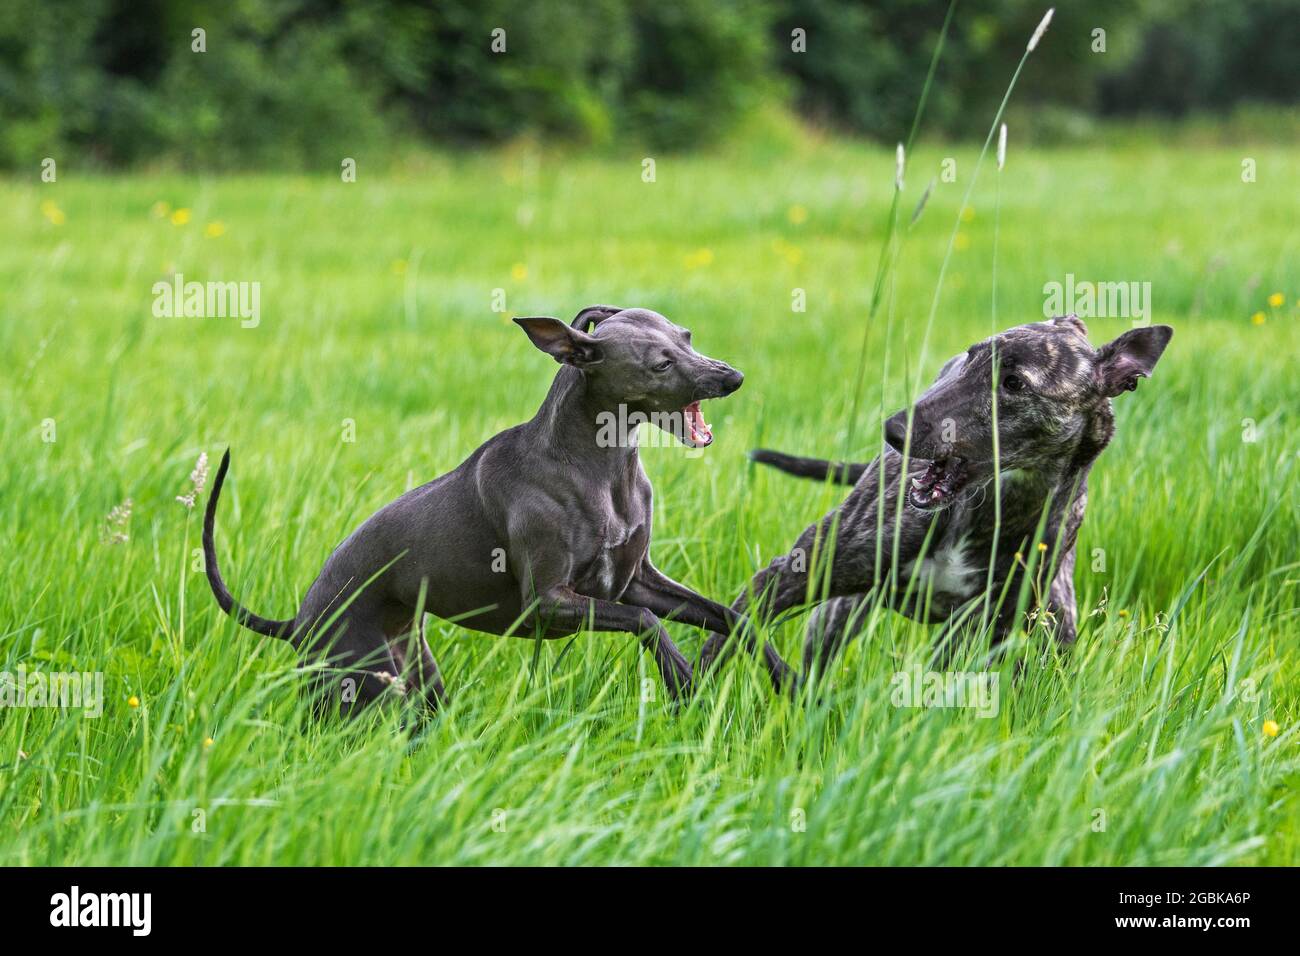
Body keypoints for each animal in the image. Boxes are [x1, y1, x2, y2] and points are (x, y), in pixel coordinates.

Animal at [205, 306, 780, 717]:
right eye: (660, 362)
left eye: (687, 336)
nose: (733, 378)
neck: (599, 468)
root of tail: (297, 620)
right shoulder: (548, 603)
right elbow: (647, 622)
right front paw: (684, 679)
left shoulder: (636, 580)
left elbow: (734, 616)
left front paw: (786, 678)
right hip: (354, 686)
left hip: (417, 680)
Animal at [707, 317, 1175, 686]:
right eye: (969, 357)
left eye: (1014, 383)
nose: (894, 432)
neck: (986, 510)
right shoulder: (791, 574)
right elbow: (725, 634)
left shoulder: (979, 627)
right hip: (840, 612)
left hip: (1054, 623)